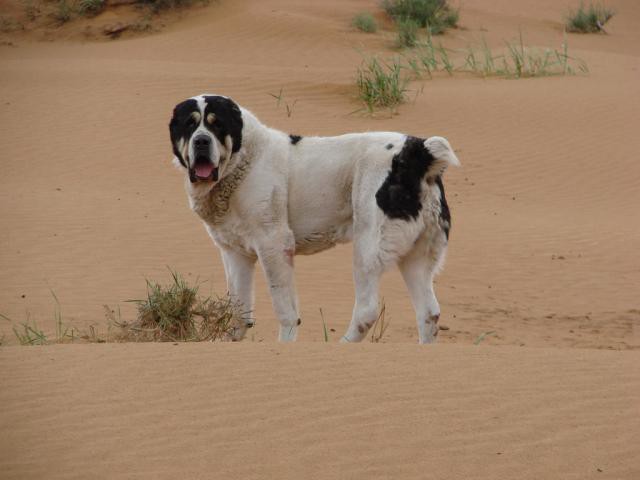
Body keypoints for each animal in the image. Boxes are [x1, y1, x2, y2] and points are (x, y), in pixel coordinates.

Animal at [169, 93, 460, 342]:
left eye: (217, 125)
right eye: (189, 125)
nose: (201, 141)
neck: (243, 161)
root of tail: (418, 151)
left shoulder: (274, 246)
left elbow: (286, 313)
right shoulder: (235, 253)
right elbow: (238, 313)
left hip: (369, 246)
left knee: (366, 311)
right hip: (416, 254)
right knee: (429, 313)